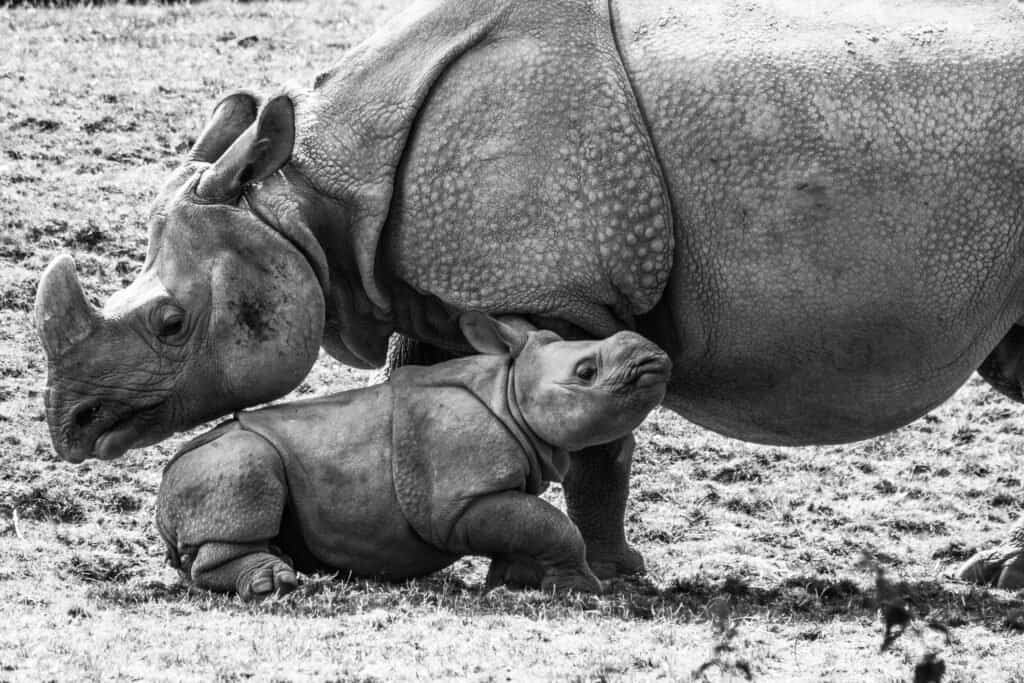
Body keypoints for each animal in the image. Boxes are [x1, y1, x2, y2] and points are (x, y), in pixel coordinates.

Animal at [155, 315, 671, 598]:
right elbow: (551, 525)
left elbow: (528, 526)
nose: (655, 357)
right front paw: (582, 589)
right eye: (586, 372)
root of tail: (160, 495)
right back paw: (273, 585)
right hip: (220, 460)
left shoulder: (498, 491)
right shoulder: (462, 503)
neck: (509, 393)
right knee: (245, 465)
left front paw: (513, 583)